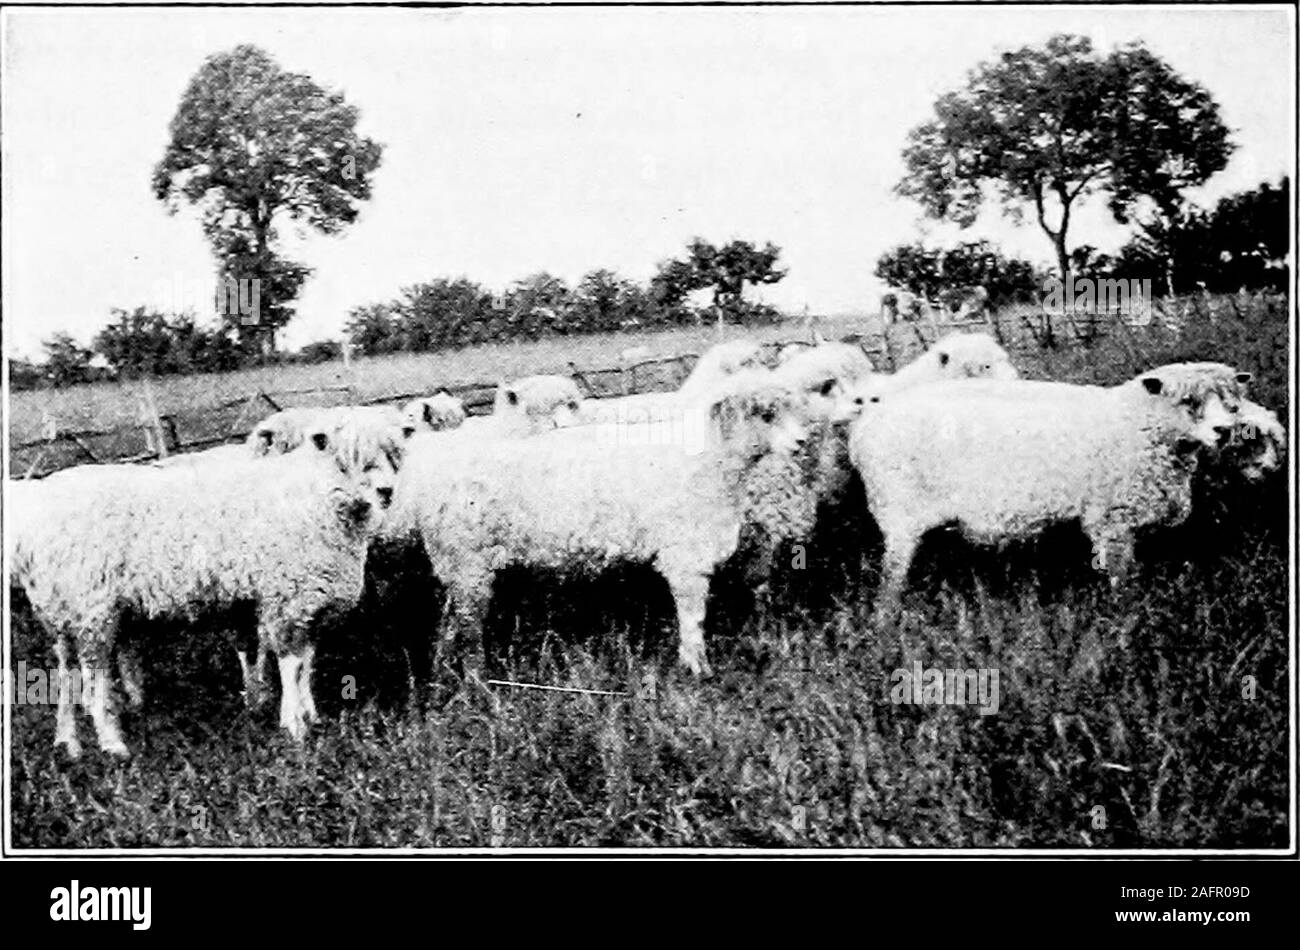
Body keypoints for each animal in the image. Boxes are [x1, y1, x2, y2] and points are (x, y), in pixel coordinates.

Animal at [8, 418, 405, 758]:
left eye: (392, 457)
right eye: (347, 462)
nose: (387, 492)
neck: (315, 499)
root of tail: (32, 525)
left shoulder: (306, 602)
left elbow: (305, 663)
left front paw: (310, 715)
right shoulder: (287, 596)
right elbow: (292, 666)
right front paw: (294, 725)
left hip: (63, 611)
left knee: (66, 675)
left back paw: (69, 742)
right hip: (92, 607)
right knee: (93, 679)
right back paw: (112, 745)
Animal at [847, 361, 1253, 605]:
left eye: (1231, 403)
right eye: (1188, 401)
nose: (1224, 431)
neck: (1138, 424)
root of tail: (863, 429)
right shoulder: (1111, 518)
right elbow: (1122, 573)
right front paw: (1128, 612)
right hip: (899, 515)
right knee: (890, 579)